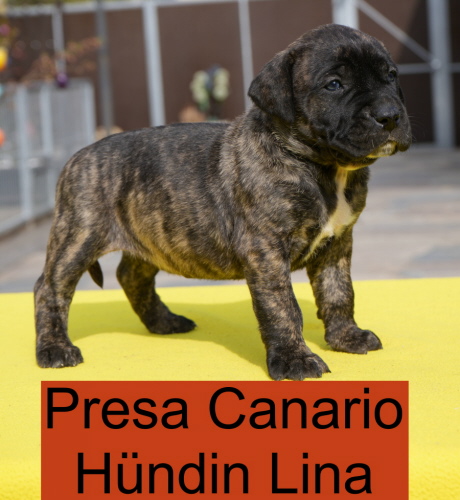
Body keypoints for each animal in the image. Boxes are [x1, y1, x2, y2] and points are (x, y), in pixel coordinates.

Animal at [34, 24, 411, 380]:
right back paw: (54, 349)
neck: (323, 167)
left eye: (391, 75)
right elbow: (282, 305)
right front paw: (295, 360)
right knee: (50, 288)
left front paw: (347, 337)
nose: (390, 115)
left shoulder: (338, 243)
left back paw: (164, 322)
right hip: (79, 234)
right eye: (334, 84)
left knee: (131, 275)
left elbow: (339, 292)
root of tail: (78, 157)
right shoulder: (265, 248)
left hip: (150, 236)